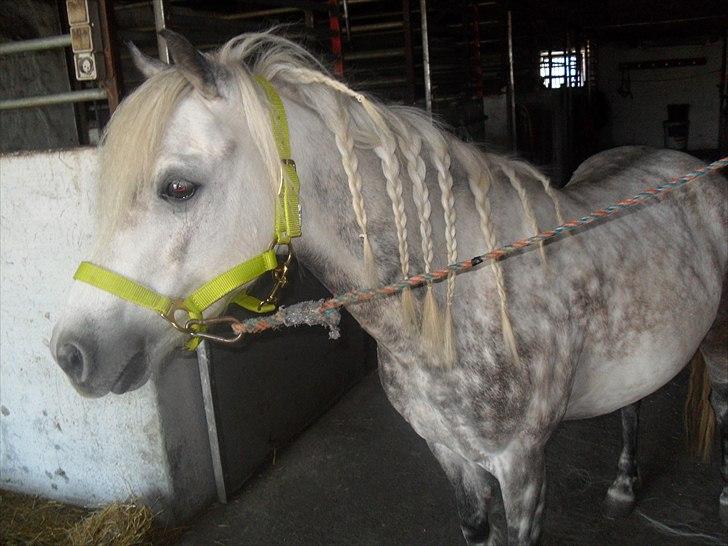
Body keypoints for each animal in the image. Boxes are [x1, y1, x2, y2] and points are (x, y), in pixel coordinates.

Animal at [50, 31, 727, 545]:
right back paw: (622, 487)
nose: (71, 354)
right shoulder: (450, 454)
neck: (456, 301)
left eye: (178, 187)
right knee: (632, 405)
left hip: (718, 349)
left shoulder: (522, 466)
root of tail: (692, 167)